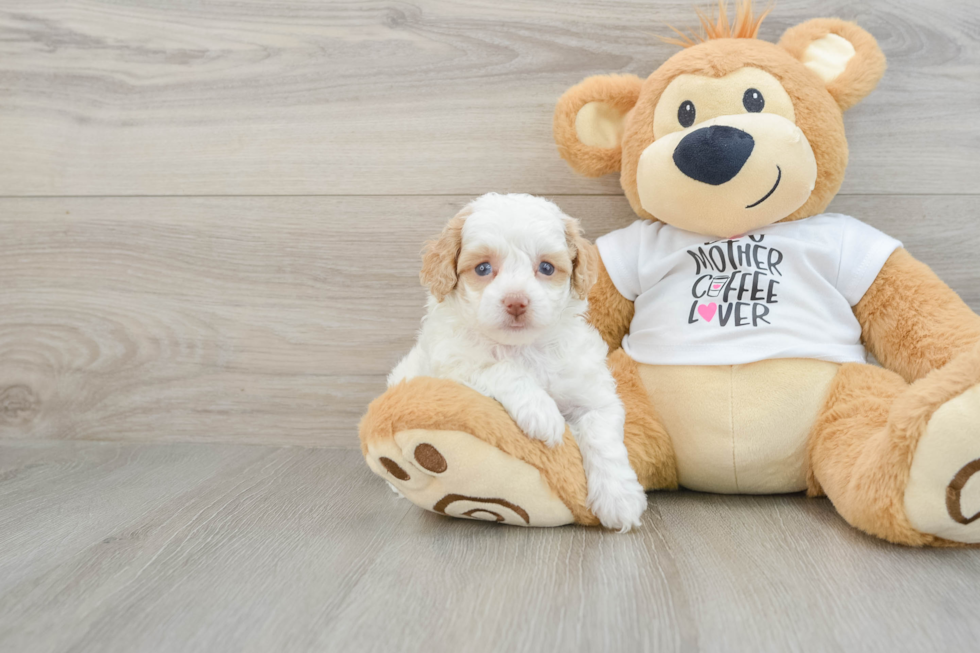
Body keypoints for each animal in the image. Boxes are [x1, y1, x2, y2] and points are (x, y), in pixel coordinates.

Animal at [386, 192, 648, 528]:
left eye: (546, 268)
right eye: (483, 268)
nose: (516, 302)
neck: (523, 348)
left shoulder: (594, 393)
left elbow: (602, 434)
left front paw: (619, 499)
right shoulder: (453, 367)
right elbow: (499, 367)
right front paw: (542, 412)